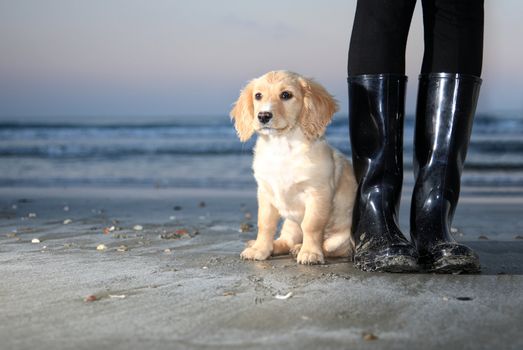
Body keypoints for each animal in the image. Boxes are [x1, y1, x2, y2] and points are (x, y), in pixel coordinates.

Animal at [229, 69, 356, 264]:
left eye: (286, 95)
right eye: (258, 96)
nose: (263, 116)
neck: (281, 146)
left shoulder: (317, 193)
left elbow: (312, 225)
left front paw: (310, 252)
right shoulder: (265, 192)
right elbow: (265, 224)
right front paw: (260, 249)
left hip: (341, 238)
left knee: (331, 247)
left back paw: (303, 249)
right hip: (290, 223)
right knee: (286, 240)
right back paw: (273, 246)